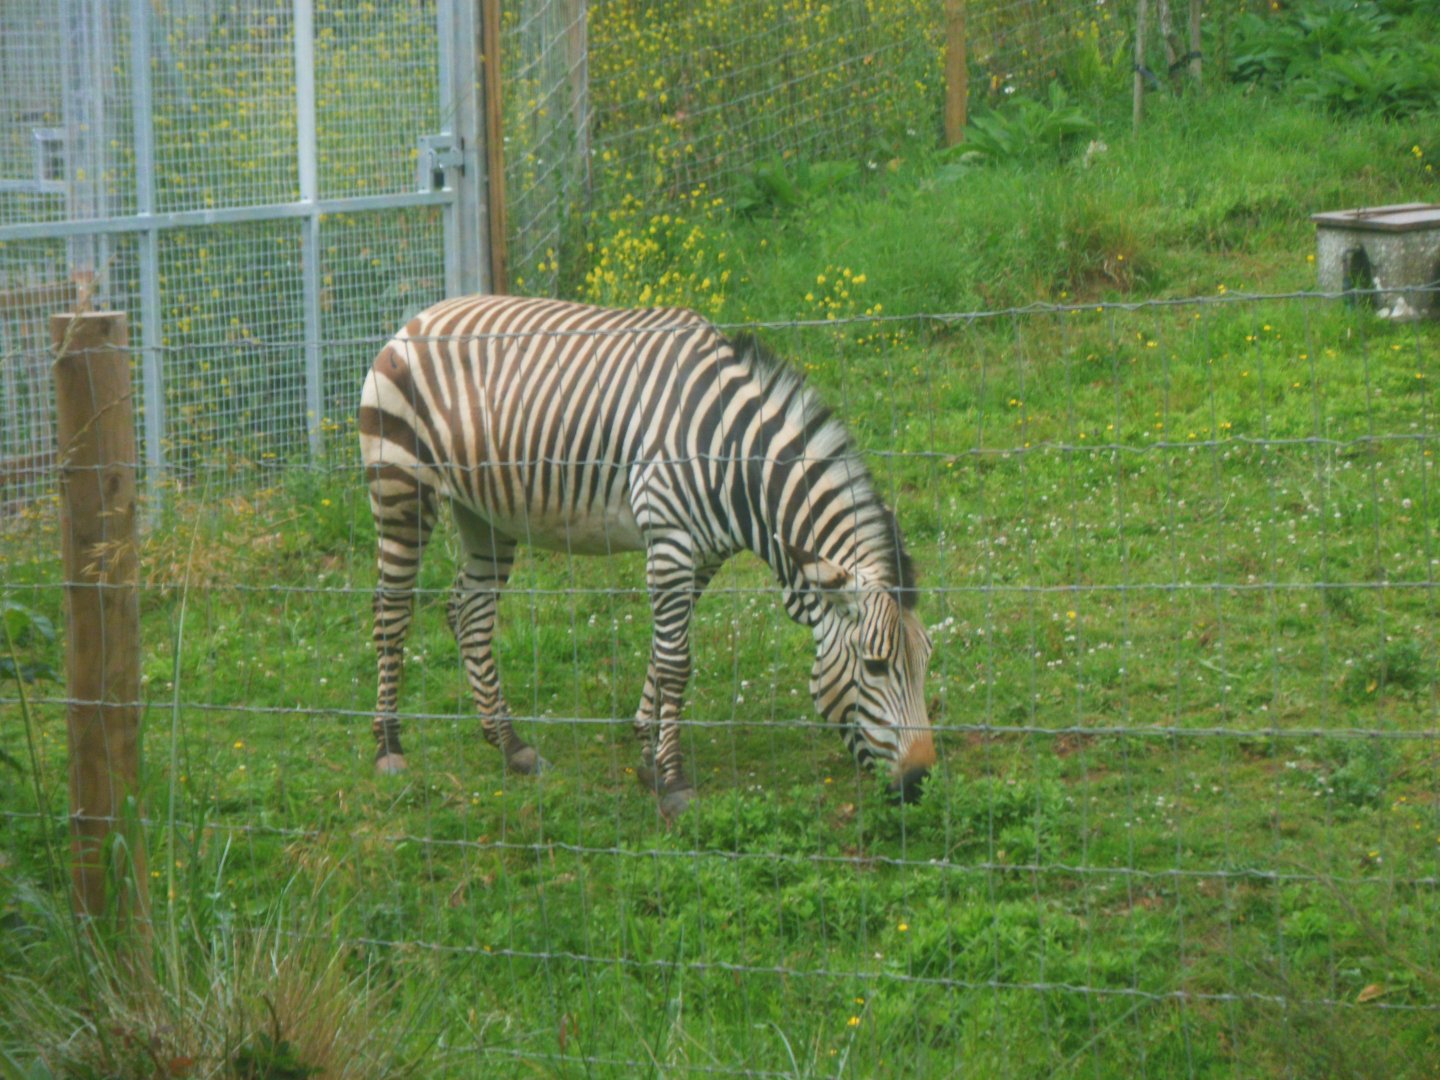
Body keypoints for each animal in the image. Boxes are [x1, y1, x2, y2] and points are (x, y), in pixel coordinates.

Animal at [359, 294, 936, 817]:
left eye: (927, 660)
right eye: (876, 665)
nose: (920, 782)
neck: (732, 458)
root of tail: (420, 317)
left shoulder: (701, 556)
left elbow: (663, 652)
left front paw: (648, 755)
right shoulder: (670, 541)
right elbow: (678, 662)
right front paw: (674, 783)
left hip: (485, 515)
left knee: (469, 613)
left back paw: (511, 746)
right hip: (401, 487)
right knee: (392, 613)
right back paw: (388, 748)